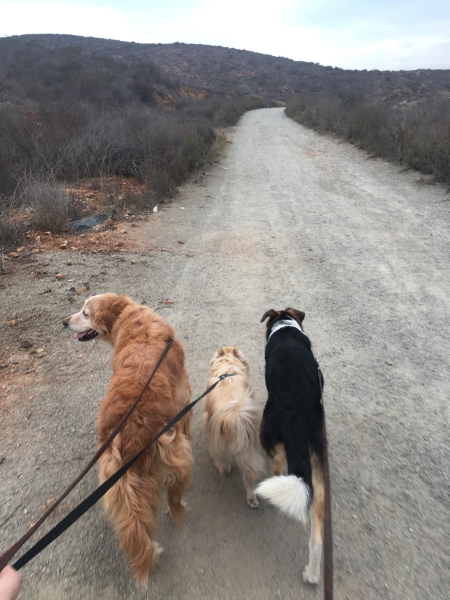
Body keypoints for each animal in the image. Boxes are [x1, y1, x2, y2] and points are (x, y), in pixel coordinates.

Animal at [63, 294, 193, 583]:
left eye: (84, 312)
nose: (64, 322)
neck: (132, 319)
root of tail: (132, 428)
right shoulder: (184, 395)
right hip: (177, 452)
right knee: (175, 496)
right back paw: (178, 509)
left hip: (117, 477)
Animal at [204, 347, 264, 508]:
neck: (228, 368)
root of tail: (233, 418)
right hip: (247, 449)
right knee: (248, 475)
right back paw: (252, 499)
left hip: (217, 445)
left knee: (222, 462)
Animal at [256, 309, 325, 585]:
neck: (285, 327)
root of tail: (294, 417)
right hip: (318, 477)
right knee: (317, 540)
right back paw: (312, 575)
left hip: (270, 442)